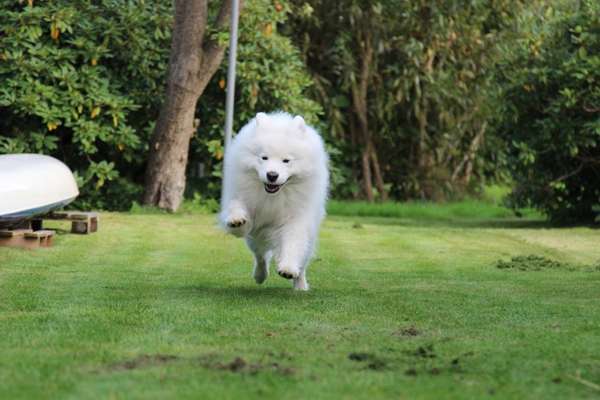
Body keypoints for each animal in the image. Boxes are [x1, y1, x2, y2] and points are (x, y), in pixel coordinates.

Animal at [219, 111, 328, 290]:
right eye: (264, 158)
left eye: (286, 161)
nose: (272, 175)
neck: (273, 196)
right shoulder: (243, 199)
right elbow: (237, 207)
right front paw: (236, 220)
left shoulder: (296, 219)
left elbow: (292, 243)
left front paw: (288, 269)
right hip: (256, 238)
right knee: (261, 256)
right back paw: (260, 275)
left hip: (309, 239)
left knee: (302, 264)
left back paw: (300, 285)